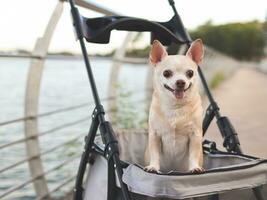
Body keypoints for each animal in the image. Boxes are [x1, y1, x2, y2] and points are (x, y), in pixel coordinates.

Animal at [144, 39, 205, 173]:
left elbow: (194, 154)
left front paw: (194, 167)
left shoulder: (195, 135)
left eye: (190, 73)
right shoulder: (154, 135)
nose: (181, 82)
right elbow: (154, 154)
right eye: (166, 73)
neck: (175, 106)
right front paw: (153, 167)